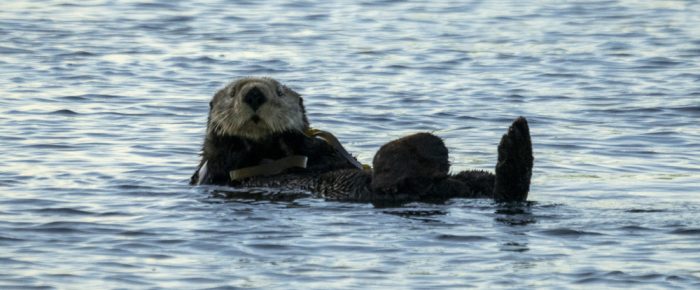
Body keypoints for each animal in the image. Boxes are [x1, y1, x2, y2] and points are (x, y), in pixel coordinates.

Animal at [189, 76, 532, 205]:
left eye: (280, 92)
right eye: (233, 92)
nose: (254, 93)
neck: (273, 154)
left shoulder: (319, 150)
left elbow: (327, 152)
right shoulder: (218, 168)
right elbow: (223, 156)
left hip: (474, 180)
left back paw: (515, 140)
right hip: (388, 187)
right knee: (386, 185)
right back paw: (422, 149)